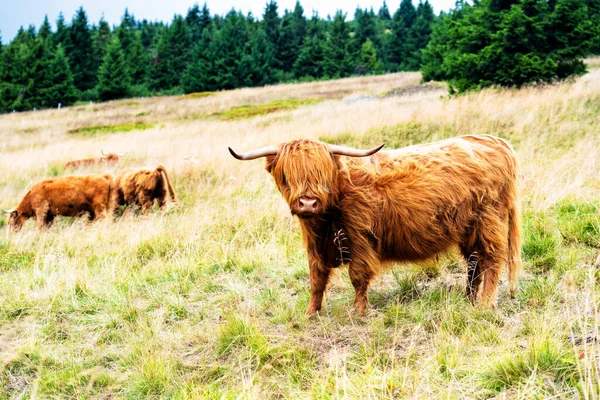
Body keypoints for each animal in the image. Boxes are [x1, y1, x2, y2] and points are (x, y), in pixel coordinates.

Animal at [232, 134, 524, 316]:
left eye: (322, 173)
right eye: (287, 174)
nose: (307, 203)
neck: (325, 218)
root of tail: (497, 143)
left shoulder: (359, 237)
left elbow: (358, 276)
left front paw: (359, 311)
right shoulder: (315, 245)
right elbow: (316, 279)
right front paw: (311, 313)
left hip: (488, 221)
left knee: (492, 259)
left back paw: (484, 305)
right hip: (467, 228)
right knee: (474, 262)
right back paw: (468, 299)